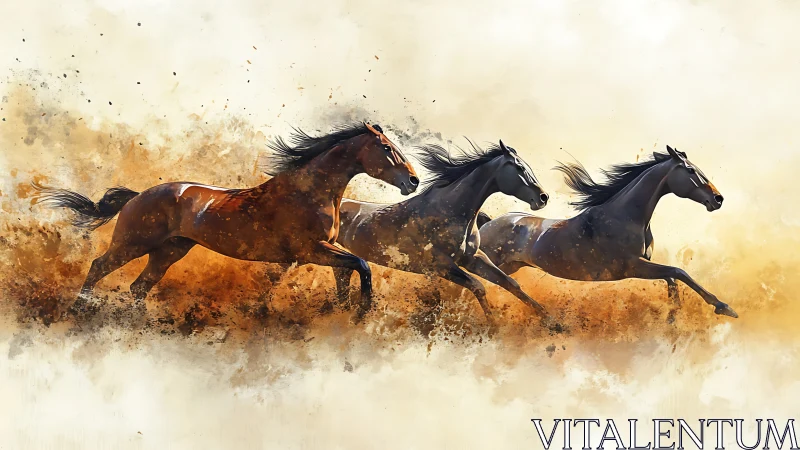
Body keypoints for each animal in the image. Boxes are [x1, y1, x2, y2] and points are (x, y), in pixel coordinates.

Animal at [33, 122, 419, 322]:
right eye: (386, 148)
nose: (413, 181)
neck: (309, 193)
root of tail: (138, 195)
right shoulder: (311, 251)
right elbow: (362, 265)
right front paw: (363, 311)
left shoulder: (326, 251)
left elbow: (349, 273)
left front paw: (345, 314)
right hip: (133, 243)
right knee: (99, 267)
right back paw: (78, 309)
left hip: (169, 251)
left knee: (139, 287)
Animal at [335, 140, 550, 328]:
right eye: (519, 167)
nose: (543, 197)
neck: (448, 211)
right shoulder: (441, 265)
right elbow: (478, 286)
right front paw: (494, 327)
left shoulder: (473, 258)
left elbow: (510, 283)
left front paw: (551, 321)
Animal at [477, 145, 737, 320]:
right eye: (691, 171)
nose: (718, 199)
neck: (626, 217)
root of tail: (486, 224)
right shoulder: (632, 266)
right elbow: (678, 272)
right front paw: (724, 308)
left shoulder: (644, 264)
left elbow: (672, 279)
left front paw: (673, 316)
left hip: (510, 265)